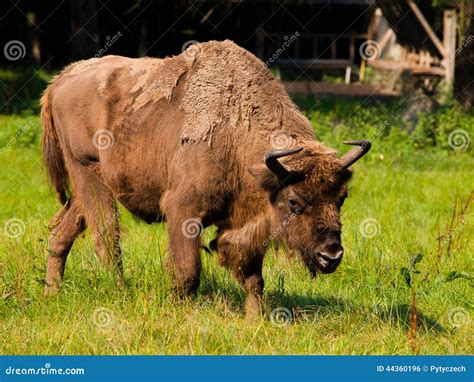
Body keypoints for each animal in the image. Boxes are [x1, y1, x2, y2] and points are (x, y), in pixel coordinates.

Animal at [41, 40, 370, 314]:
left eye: (342, 198)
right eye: (293, 201)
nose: (331, 255)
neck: (236, 130)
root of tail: (61, 80)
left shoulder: (248, 220)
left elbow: (253, 276)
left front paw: (255, 318)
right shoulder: (183, 210)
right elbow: (188, 272)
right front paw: (180, 310)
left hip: (91, 184)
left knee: (64, 231)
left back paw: (52, 291)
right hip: (87, 172)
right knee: (106, 235)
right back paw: (120, 292)